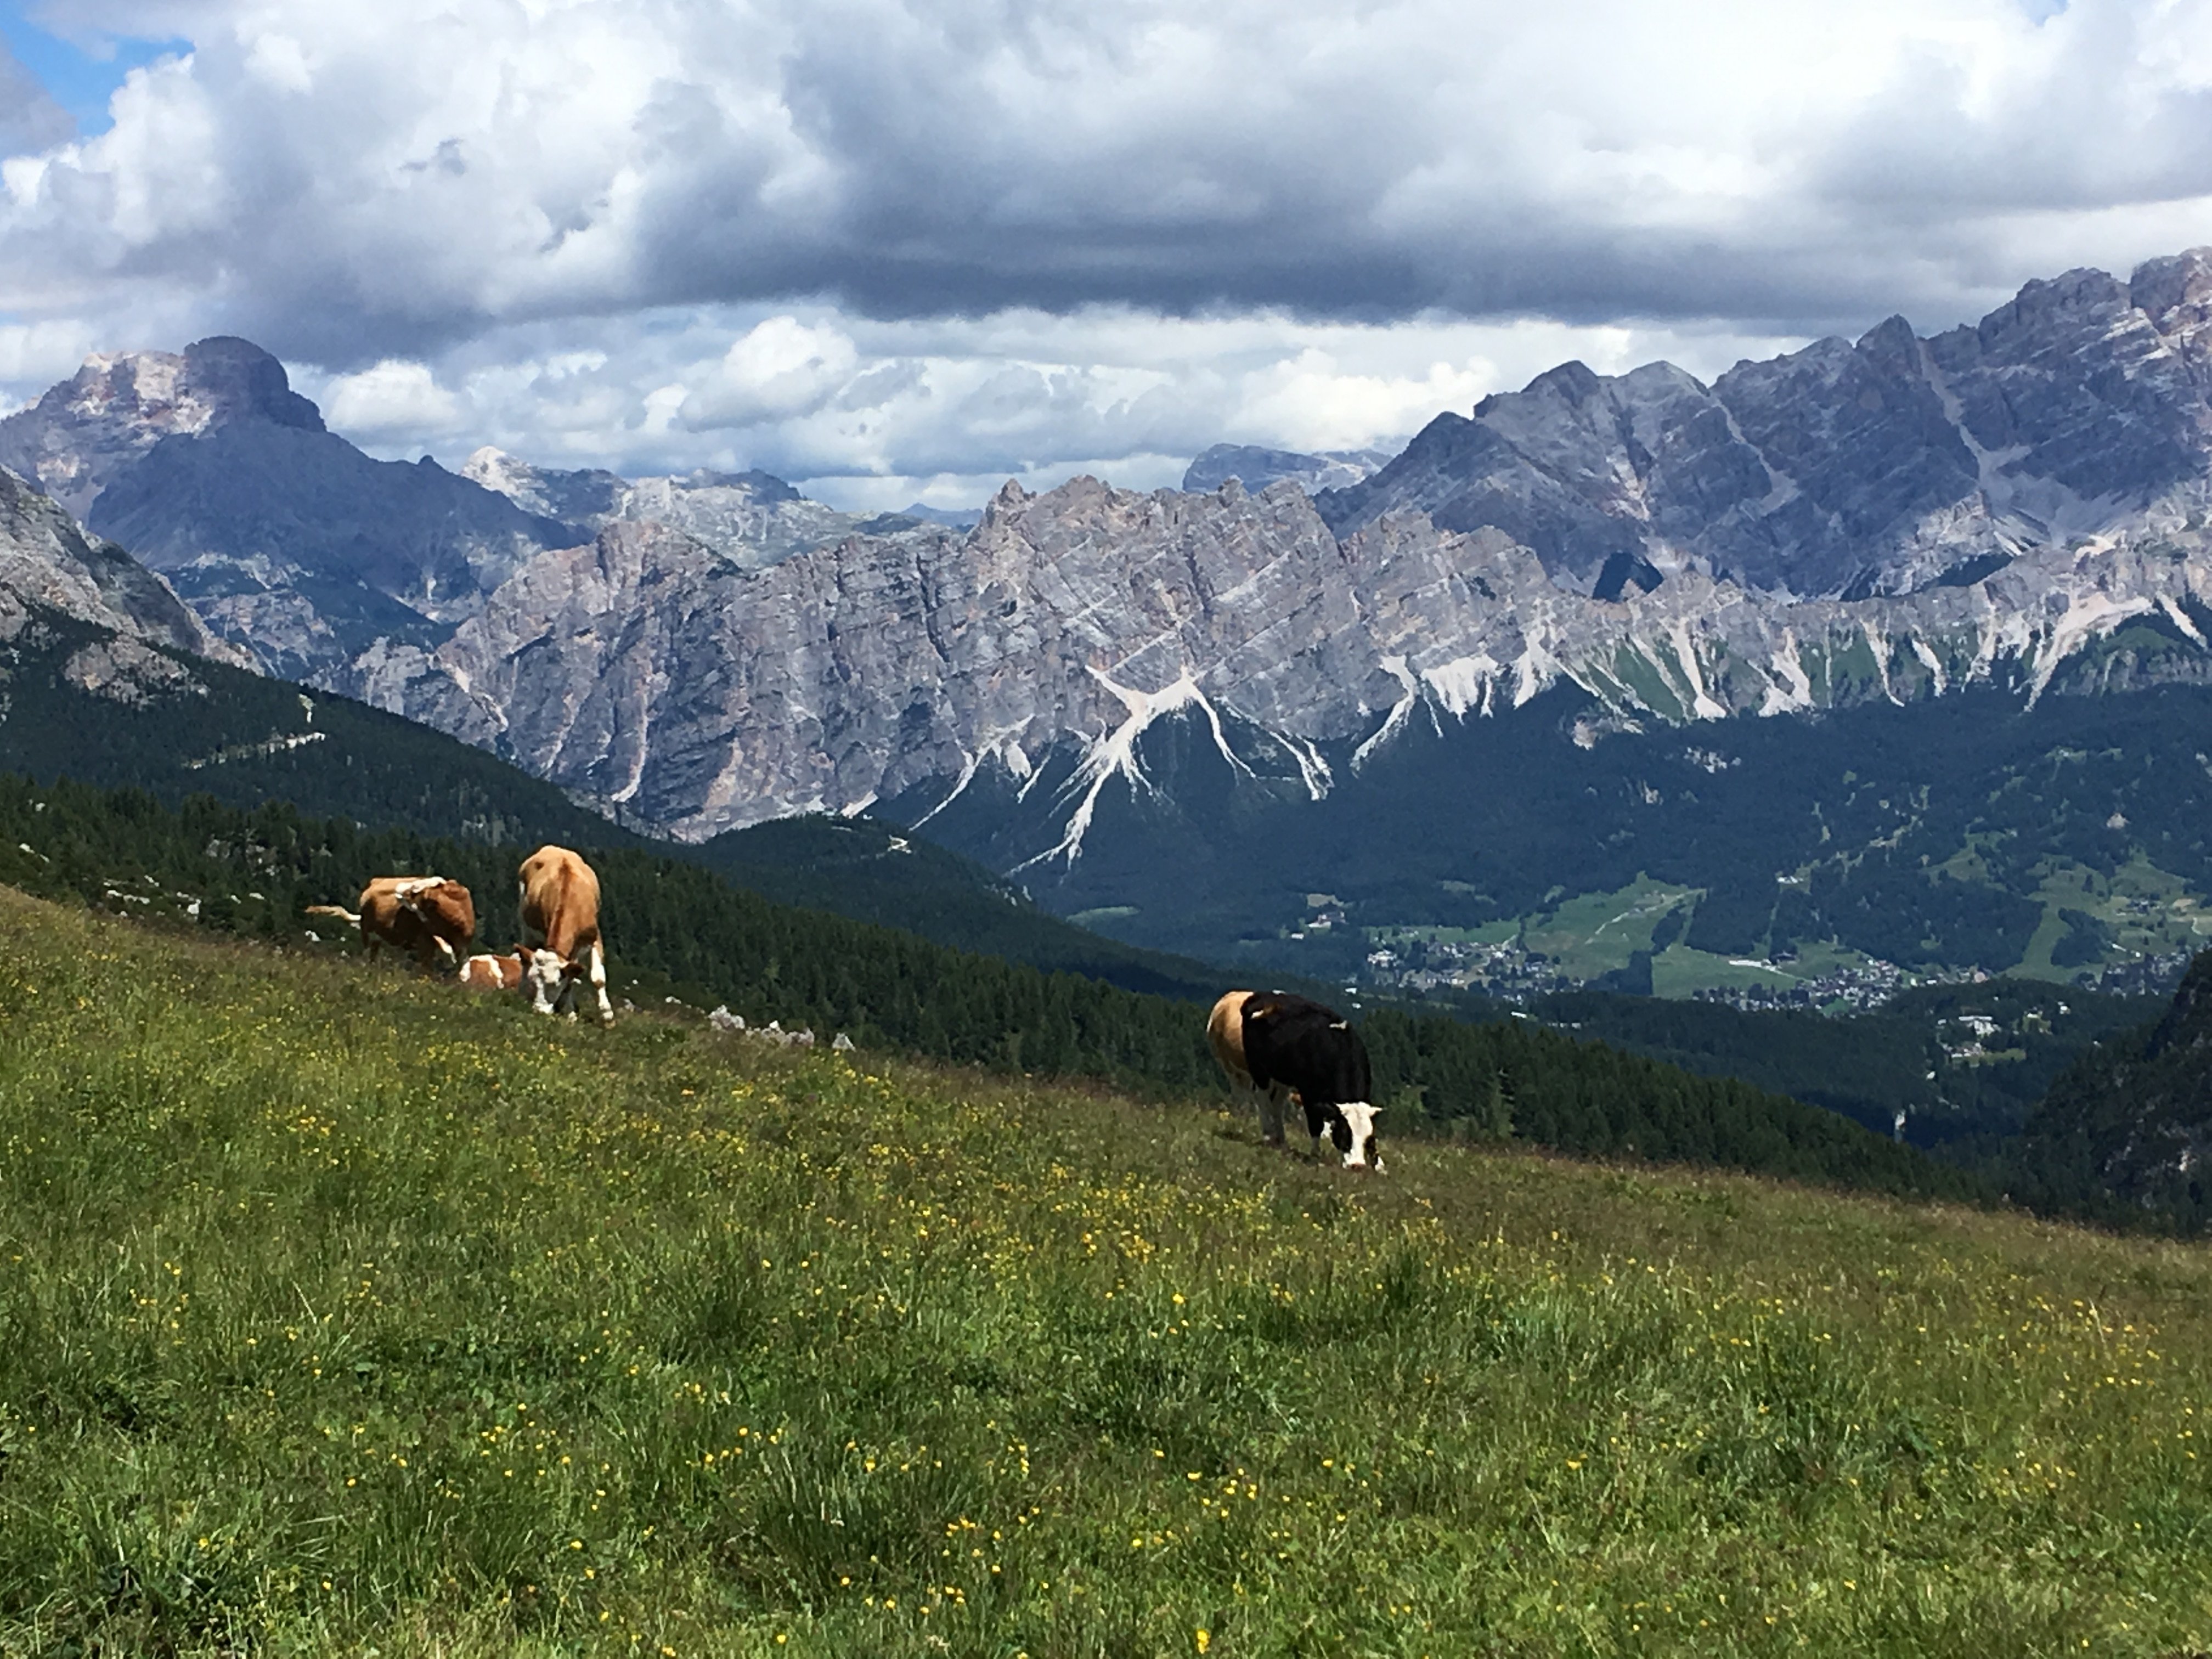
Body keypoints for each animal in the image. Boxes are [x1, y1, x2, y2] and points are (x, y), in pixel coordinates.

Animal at [307, 871, 475, 973]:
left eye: (415, 890)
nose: (399, 890)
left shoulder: (460, 946)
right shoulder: (425, 941)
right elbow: (426, 968)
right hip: (367, 931)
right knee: (369, 955)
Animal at [517, 845, 614, 1026]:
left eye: (554, 983)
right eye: (534, 981)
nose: (538, 1011)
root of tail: (554, 848)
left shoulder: (594, 936)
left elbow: (597, 978)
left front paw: (607, 1016)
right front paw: (570, 1013)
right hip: (525, 925)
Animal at [1229, 995, 1380, 1177]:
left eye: (1367, 1139)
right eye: (1345, 1133)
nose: (1357, 1166)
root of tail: (1260, 996)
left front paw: (1378, 1165)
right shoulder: (1308, 1093)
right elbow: (1315, 1125)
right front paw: (1315, 1156)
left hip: (1282, 1076)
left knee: (1277, 1104)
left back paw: (1281, 1140)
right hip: (1259, 1069)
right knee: (1262, 1098)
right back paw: (1268, 1136)